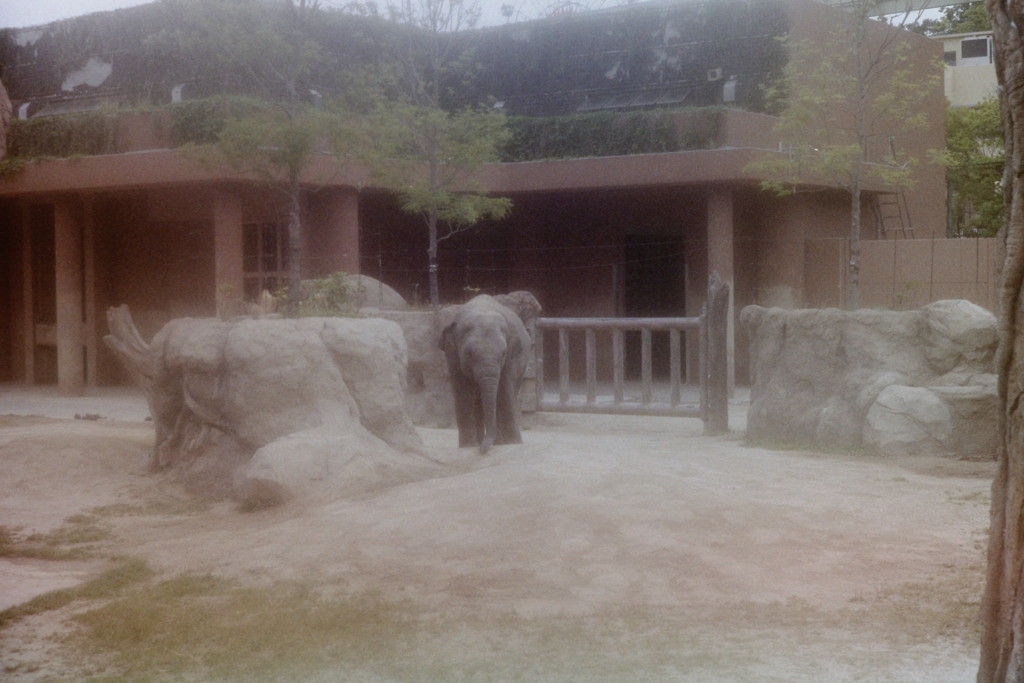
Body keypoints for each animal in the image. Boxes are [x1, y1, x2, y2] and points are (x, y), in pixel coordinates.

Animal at [440, 294, 532, 454]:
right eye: (468, 354)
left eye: (503, 354)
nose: (483, 450)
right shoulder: (453, 355)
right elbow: (463, 393)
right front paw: (467, 446)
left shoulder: (511, 356)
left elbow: (504, 391)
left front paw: (514, 443)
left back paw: (500, 442)